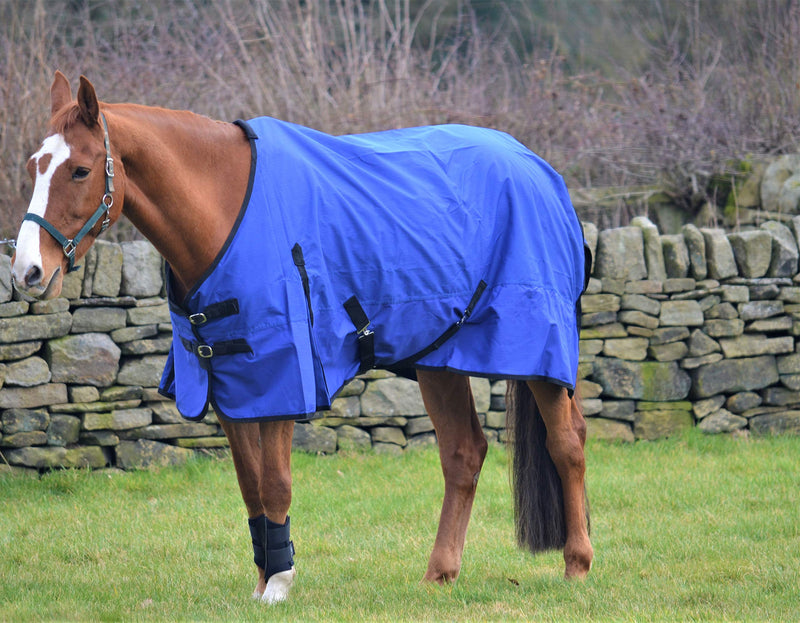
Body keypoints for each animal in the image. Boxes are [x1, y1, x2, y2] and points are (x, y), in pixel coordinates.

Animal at [11, 71, 592, 604]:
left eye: (81, 170)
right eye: (34, 165)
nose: (26, 272)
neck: (226, 210)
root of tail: (539, 169)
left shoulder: (283, 378)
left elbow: (275, 483)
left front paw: (279, 584)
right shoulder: (228, 385)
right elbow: (250, 489)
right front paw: (264, 578)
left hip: (538, 353)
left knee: (567, 443)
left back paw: (577, 566)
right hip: (438, 359)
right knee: (463, 455)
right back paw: (439, 575)